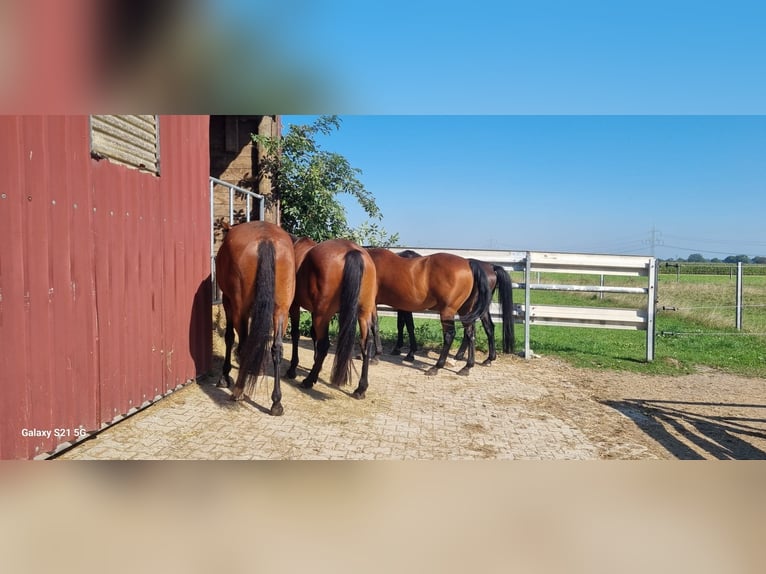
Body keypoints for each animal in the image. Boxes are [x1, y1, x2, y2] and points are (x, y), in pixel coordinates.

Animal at [215, 221, 296, 416]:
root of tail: (266, 239)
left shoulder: (228, 303)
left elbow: (230, 338)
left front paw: (224, 376)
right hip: (281, 311)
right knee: (277, 348)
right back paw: (276, 402)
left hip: (240, 308)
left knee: (245, 344)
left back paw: (238, 390)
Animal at [290, 239, 378, 399]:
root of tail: (352, 251)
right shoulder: (314, 311)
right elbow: (313, 334)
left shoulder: (295, 305)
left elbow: (295, 334)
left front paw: (293, 368)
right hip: (363, 314)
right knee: (365, 344)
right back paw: (361, 388)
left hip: (322, 315)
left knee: (325, 344)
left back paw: (309, 380)